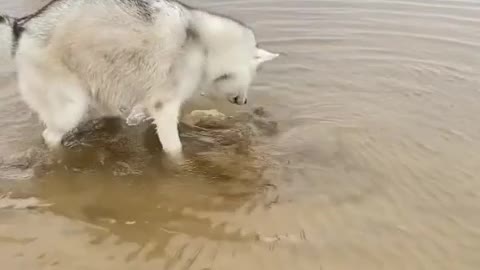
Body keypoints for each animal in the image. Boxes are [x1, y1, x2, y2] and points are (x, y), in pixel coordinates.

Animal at [0, 0, 278, 158]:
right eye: (250, 77)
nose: (244, 101)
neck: (204, 45)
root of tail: (22, 27)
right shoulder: (165, 104)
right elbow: (173, 147)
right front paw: (178, 165)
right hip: (70, 107)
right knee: (50, 136)